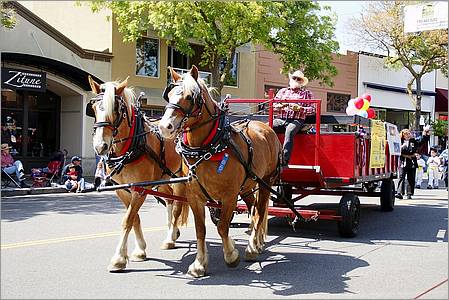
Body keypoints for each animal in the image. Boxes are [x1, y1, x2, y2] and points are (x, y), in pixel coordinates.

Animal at [87, 75, 187, 272]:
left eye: (116, 108)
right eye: (93, 107)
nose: (100, 146)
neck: (130, 146)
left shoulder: (139, 189)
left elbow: (128, 219)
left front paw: (118, 258)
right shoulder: (122, 189)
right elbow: (134, 218)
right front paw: (140, 250)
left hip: (179, 178)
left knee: (177, 207)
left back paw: (170, 237)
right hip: (163, 178)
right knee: (170, 202)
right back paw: (172, 234)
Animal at [158, 65, 280, 276]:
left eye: (190, 97)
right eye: (170, 95)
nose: (165, 127)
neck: (209, 148)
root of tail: (264, 125)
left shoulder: (229, 195)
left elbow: (223, 227)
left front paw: (231, 255)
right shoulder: (195, 196)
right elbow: (200, 229)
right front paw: (199, 264)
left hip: (266, 182)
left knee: (259, 212)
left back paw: (252, 248)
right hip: (247, 186)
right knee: (253, 208)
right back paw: (255, 244)